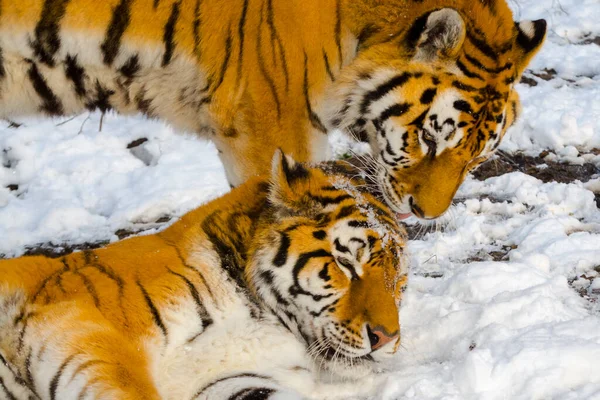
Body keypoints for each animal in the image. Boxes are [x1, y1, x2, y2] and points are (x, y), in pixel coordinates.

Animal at [0, 152, 408, 398]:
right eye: (346, 264)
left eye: (399, 284)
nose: (387, 338)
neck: (260, 316)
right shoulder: (76, 323)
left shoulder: (238, 379)